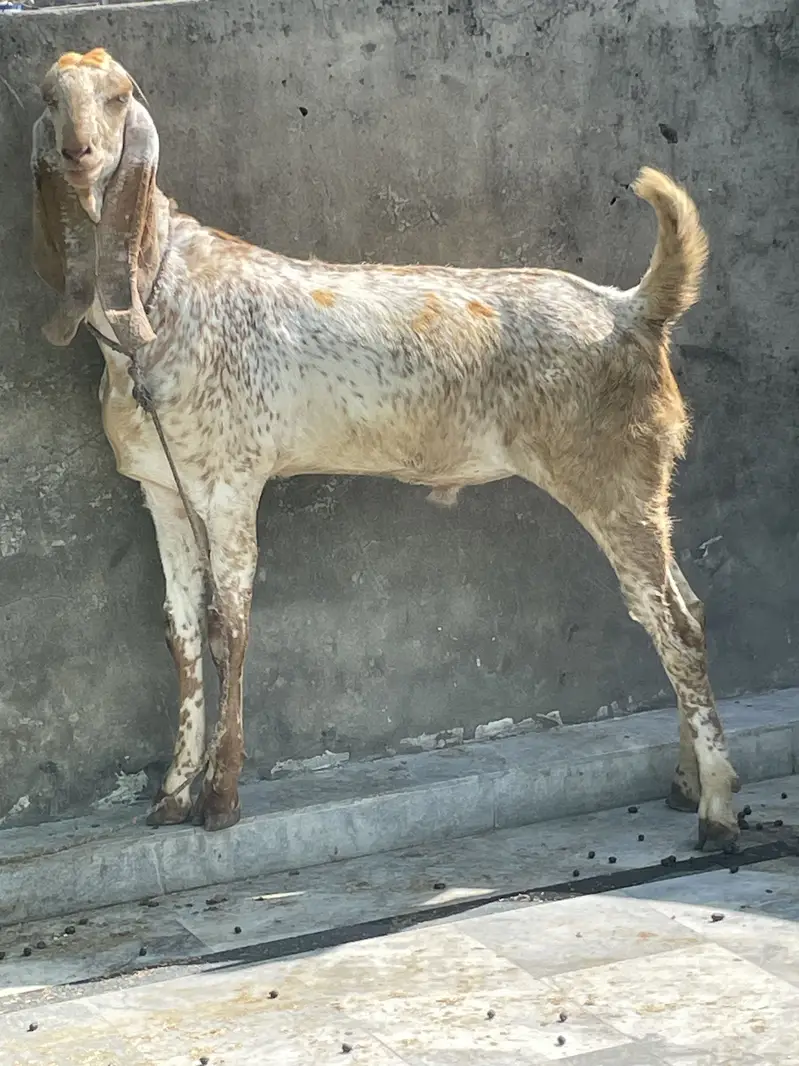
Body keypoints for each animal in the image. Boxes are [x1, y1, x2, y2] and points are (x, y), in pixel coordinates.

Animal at [31, 48, 740, 848]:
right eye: (50, 97)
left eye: (119, 97)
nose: (79, 154)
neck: (160, 295)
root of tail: (632, 309)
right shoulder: (163, 492)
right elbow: (181, 633)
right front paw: (171, 796)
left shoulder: (233, 485)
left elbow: (228, 628)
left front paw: (221, 800)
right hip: (638, 486)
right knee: (686, 607)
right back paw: (684, 784)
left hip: (612, 477)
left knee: (673, 624)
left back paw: (717, 810)